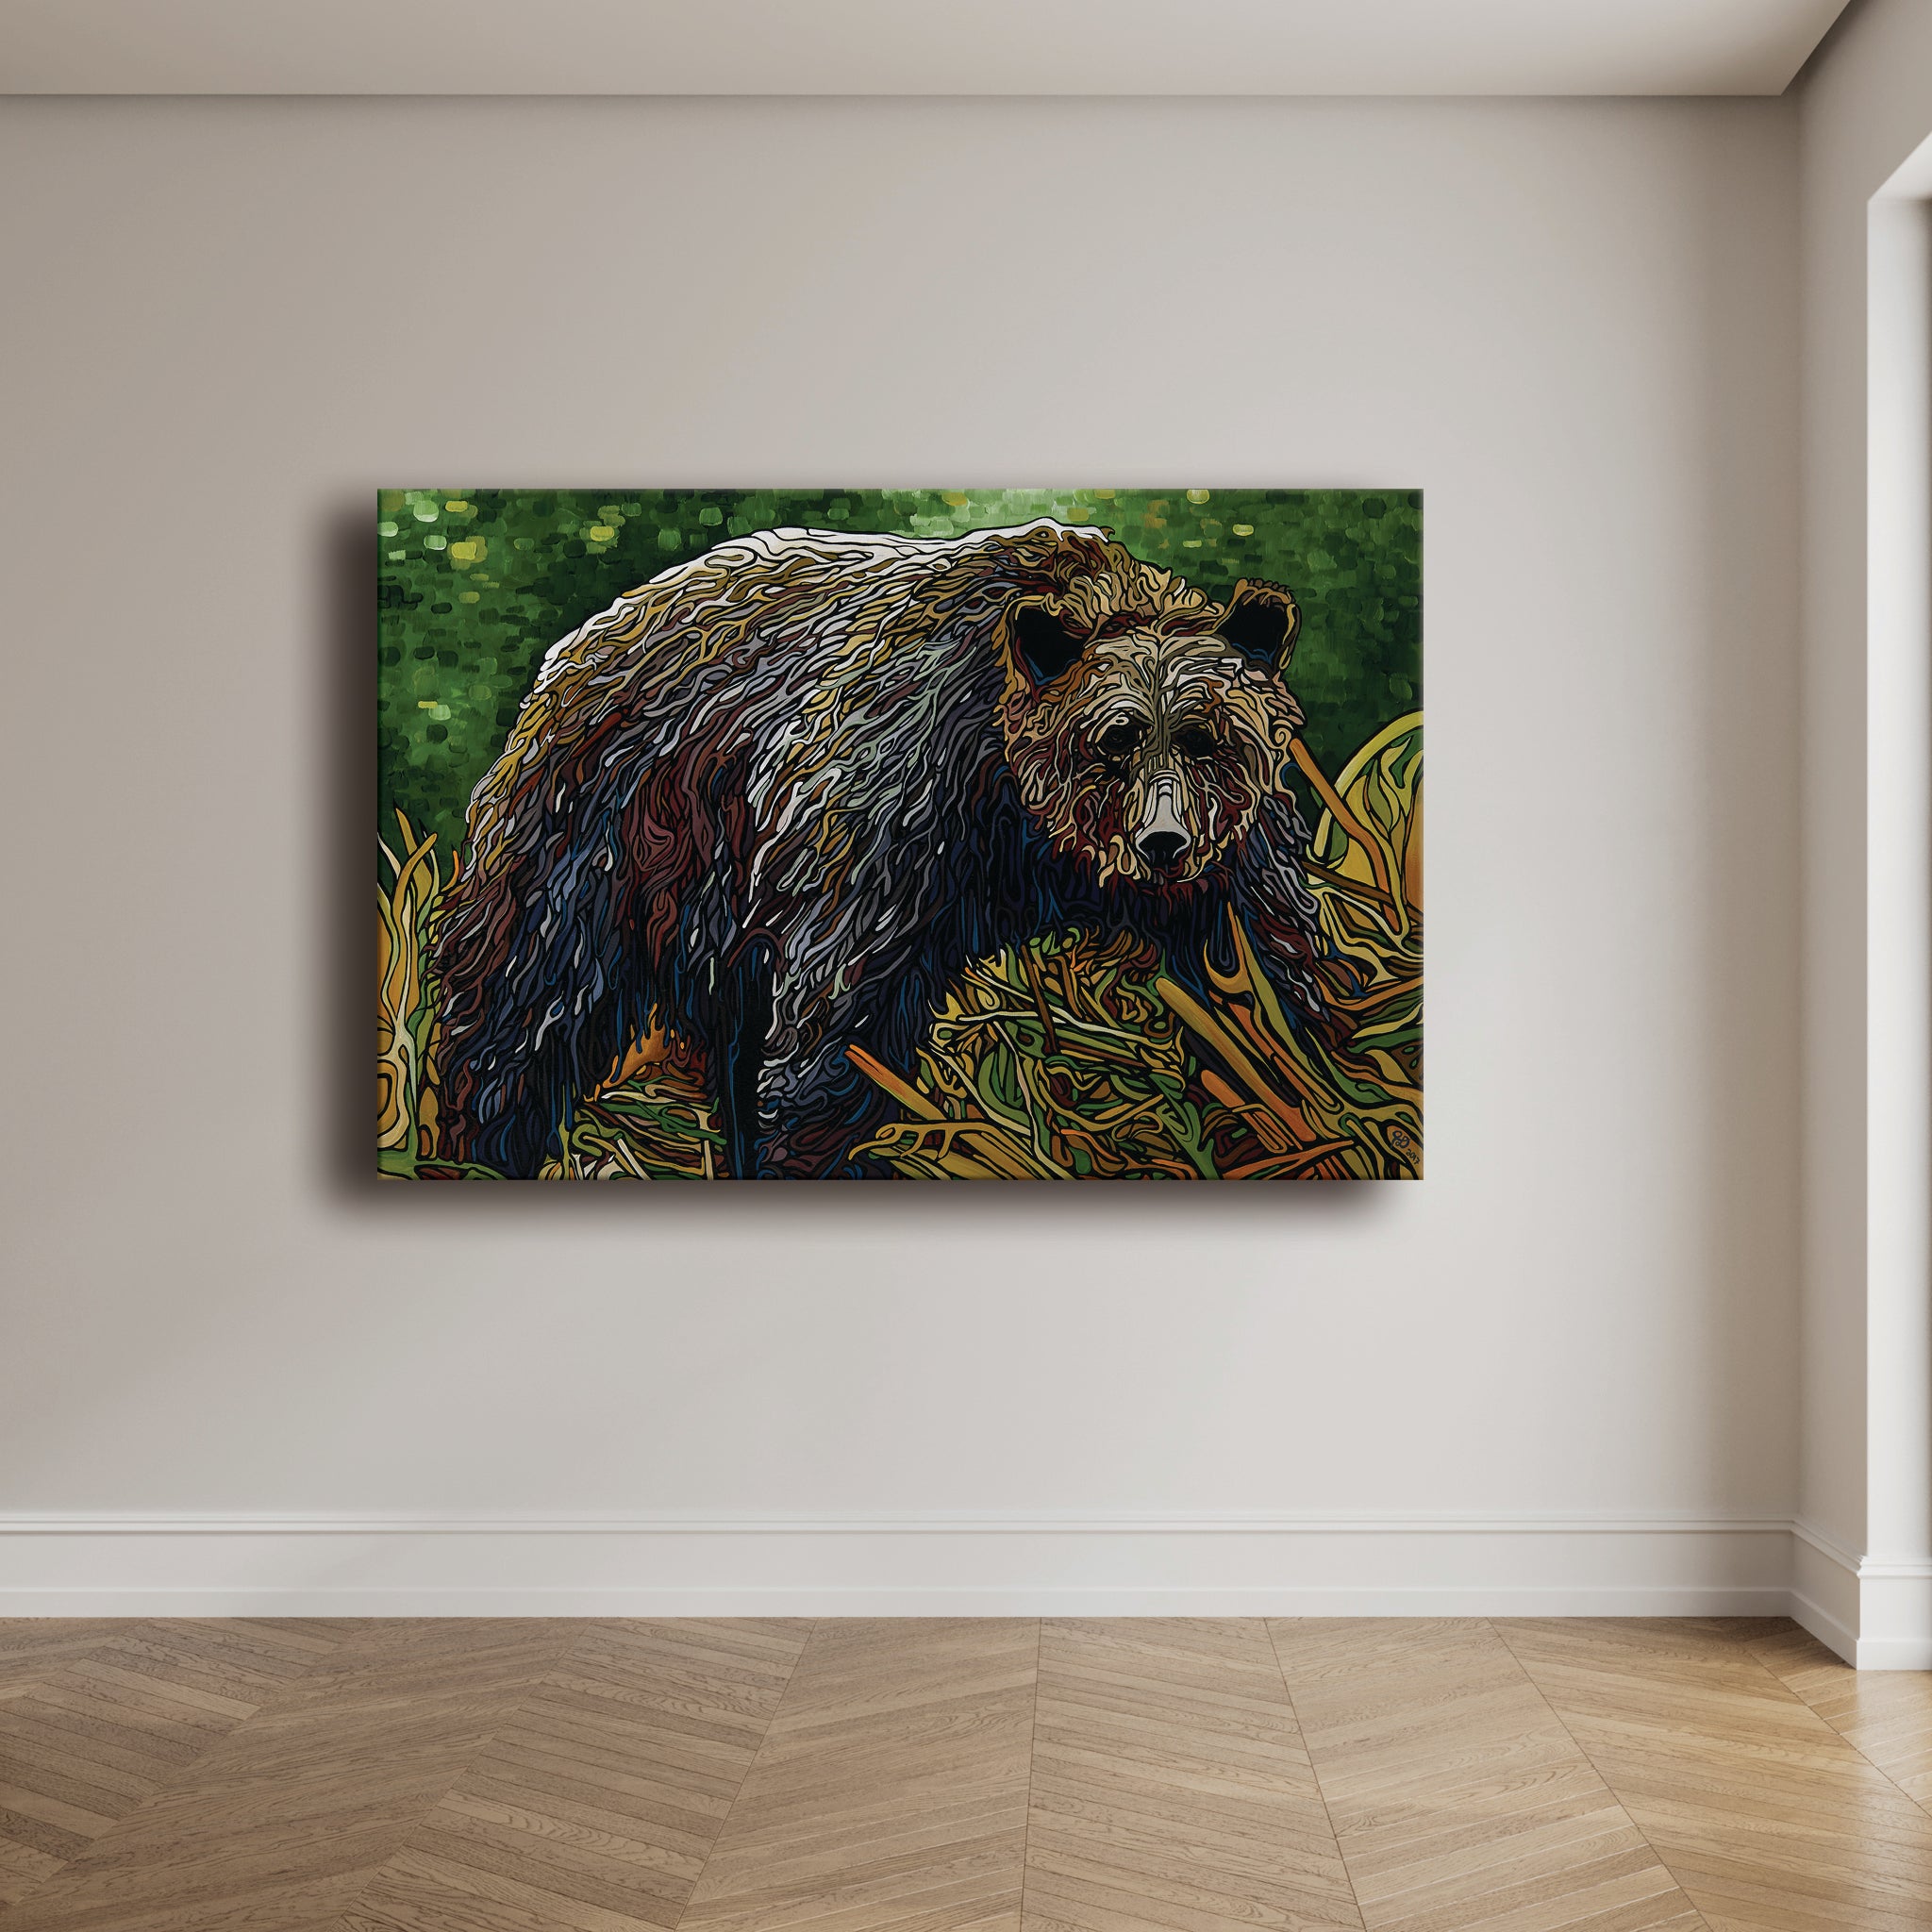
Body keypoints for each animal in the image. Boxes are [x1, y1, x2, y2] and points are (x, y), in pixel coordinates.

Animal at [430, 517, 1330, 1178]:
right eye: (1113, 739)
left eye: (1206, 739)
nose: (1164, 841)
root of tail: (588, 630)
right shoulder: (896, 819)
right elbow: (843, 1031)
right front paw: (827, 1151)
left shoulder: (1230, 862)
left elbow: (1259, 980)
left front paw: (1280, 1096)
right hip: (609, 832)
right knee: (524, 1010)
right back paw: (478, 1147)